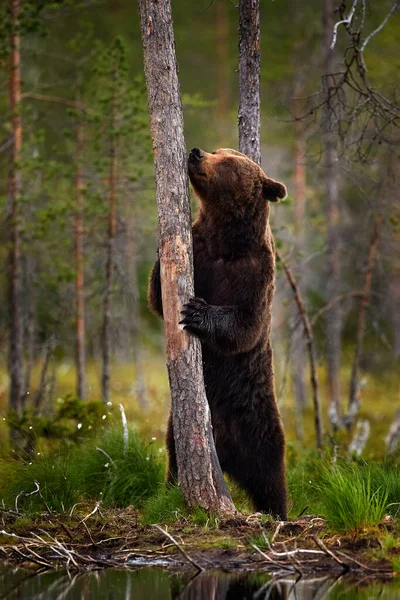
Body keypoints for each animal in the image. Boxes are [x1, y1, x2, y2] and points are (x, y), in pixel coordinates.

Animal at [148, 146, 290, 520]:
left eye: (228, 161)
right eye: (218, 150)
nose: (196, 152)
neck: (226, 243)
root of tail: (225, 456)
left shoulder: (257, 271)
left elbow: (246, 323)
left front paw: (198, 312)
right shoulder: (201, 251)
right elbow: (158, 298)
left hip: (257, 423)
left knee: (271, 476)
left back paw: (279, 513)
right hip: (179, 430)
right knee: (175, 458)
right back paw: (172, 488)